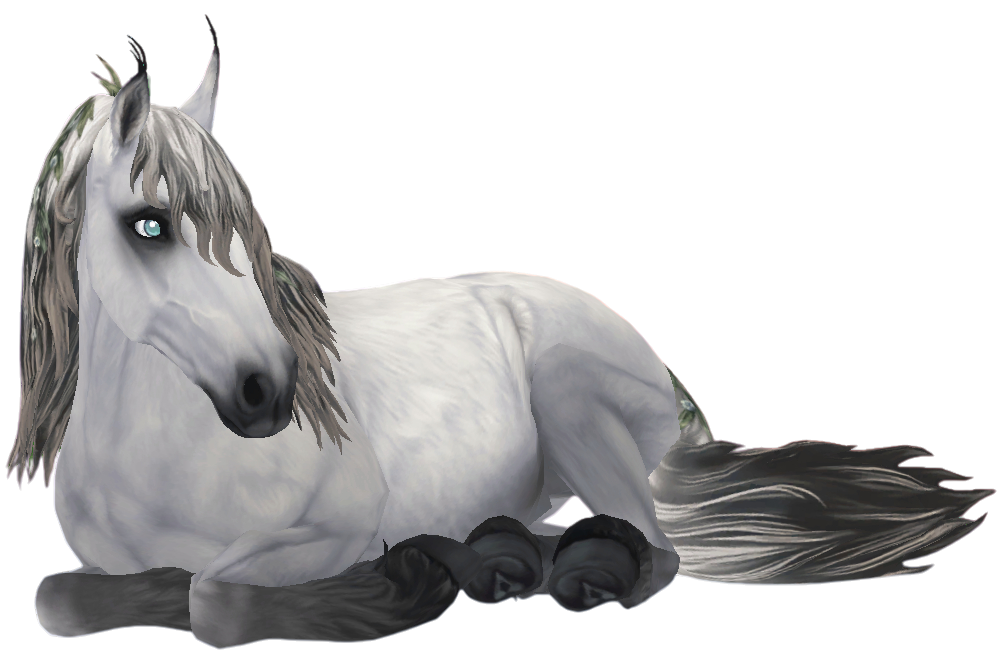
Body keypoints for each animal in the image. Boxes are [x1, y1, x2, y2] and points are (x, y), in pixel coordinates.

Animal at [14, 18, 994, 649]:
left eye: (246, 236)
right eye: (147, 225)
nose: (269, 394)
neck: (166, 462)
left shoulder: (330, 529)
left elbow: (212, 600)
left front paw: (382, 594)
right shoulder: (91, 570)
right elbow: (60, 600)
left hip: (572, 397)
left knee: (658, 550)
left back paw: (559, 576)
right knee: (590, 530)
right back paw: (498, 560)